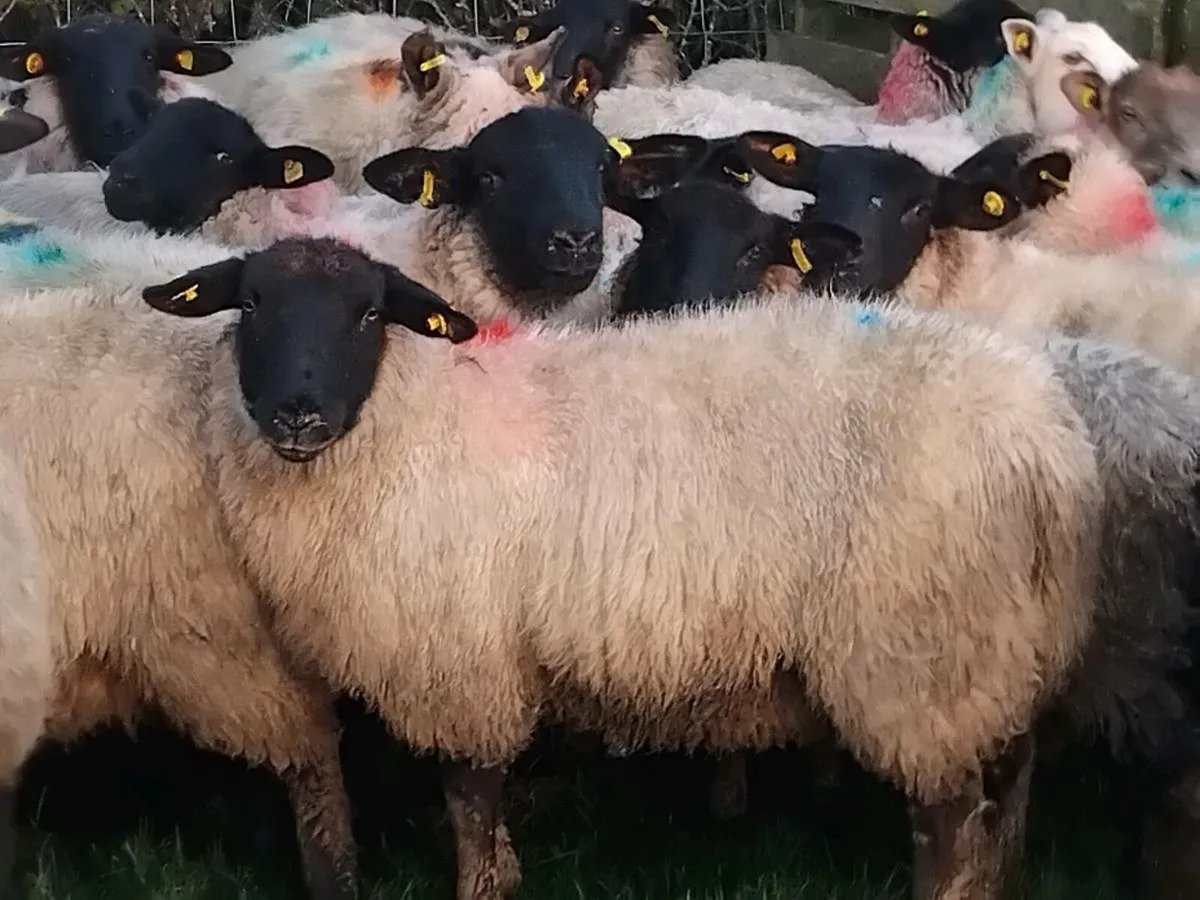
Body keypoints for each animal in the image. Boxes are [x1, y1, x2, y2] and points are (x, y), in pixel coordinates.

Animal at [141, 232, 1106, 900]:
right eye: (250, 305)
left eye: (369, 314)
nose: (297, 413)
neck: (406, 415)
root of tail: (1046, 445)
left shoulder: (459, 659)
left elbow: (469, 799)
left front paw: (483, 884)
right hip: (1007, 644)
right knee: (1010, 785)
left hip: (921, 657)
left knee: (948, 825)